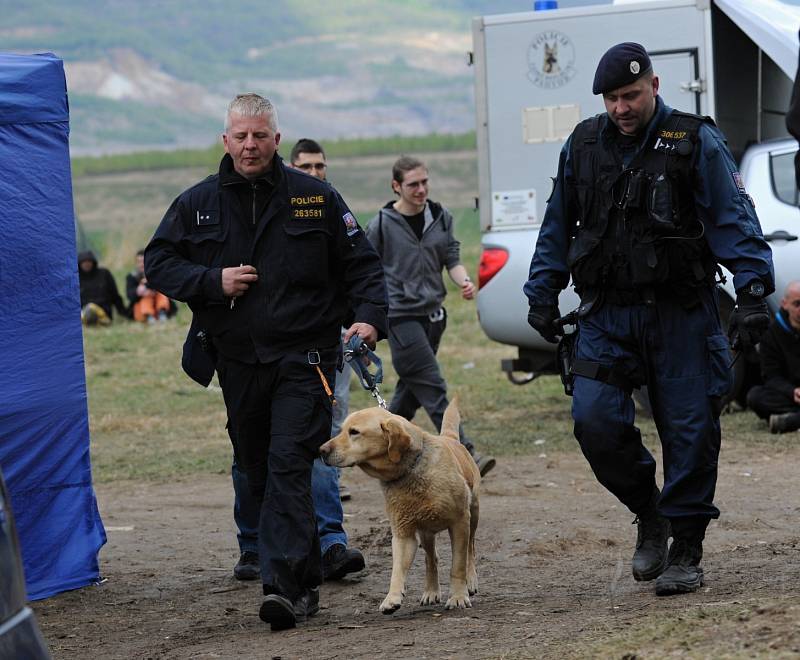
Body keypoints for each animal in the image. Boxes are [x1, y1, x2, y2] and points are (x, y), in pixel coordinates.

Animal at [318, 400, 482, 616]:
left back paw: (470, 581)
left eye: (354, 432)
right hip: (426, 532)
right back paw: (431, 591)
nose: (321, 450)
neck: (410, 472)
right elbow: (397, 570)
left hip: (474, 515)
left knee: (470, 550)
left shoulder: (460, 522)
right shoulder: (403, 532)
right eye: (342, 430)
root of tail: (450, 437)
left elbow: (458, 565)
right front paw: (392, 598)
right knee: (431, 559)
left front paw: (458, 597)